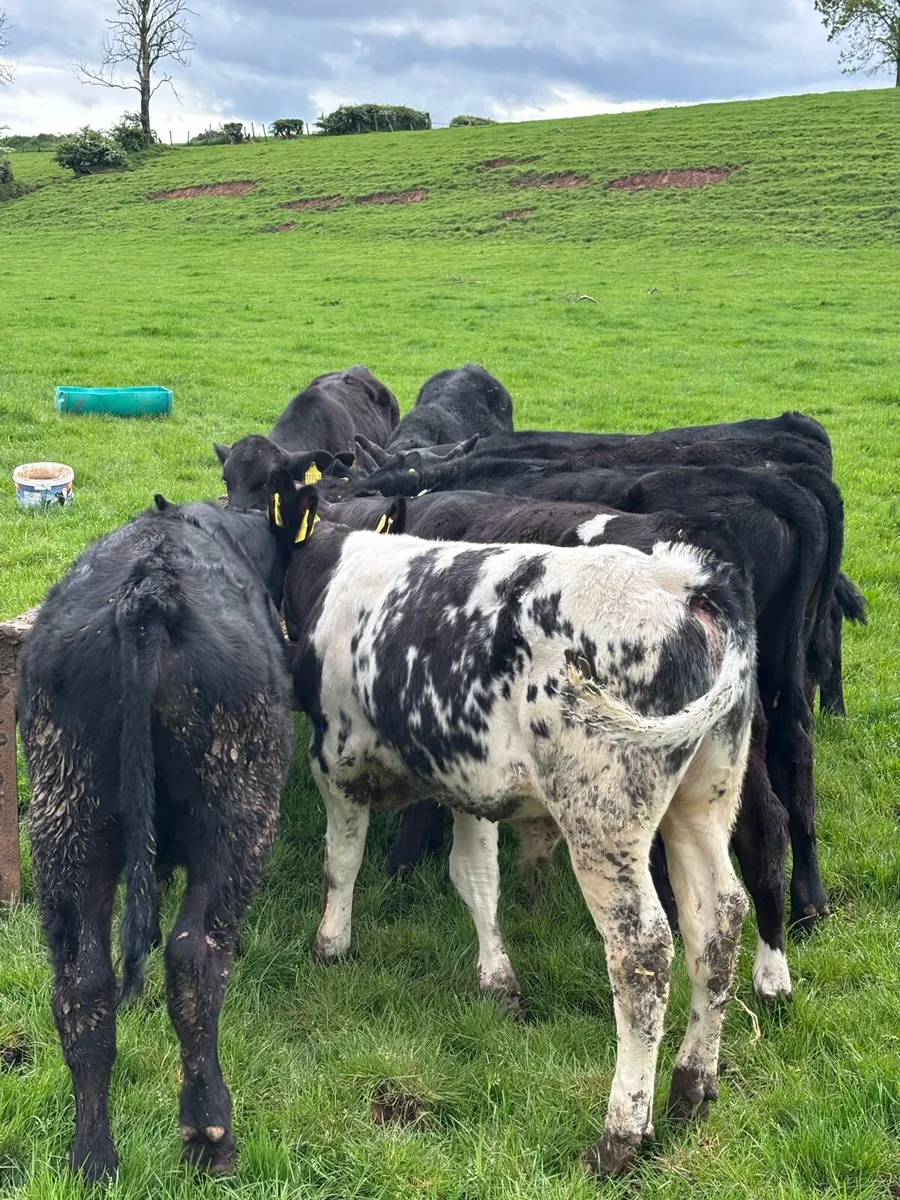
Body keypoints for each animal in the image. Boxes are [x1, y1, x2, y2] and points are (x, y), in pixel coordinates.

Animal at [17, 491, 300, 1181]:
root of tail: (150, 590)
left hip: (65, 814)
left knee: (82, 981)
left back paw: (92, 1157)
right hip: (239, 814)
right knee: (195, 957)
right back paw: (210, 1134)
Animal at [282, 487, 757, 1174]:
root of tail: (681, 581)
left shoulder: (337, 762)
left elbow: (340, 862)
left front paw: (331, 945)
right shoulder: (468, 780)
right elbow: (476, 878)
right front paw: (497, 981)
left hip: (604, 821)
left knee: (643, 953)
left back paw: (619, 1136)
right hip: (703, 802)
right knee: (717, 922)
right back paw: (692, 1088)